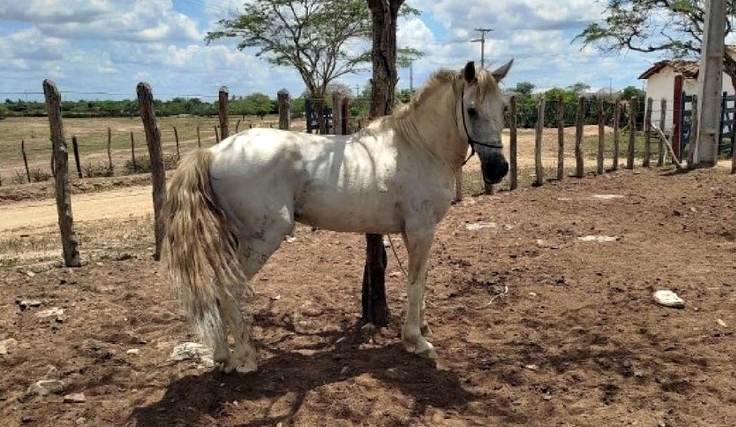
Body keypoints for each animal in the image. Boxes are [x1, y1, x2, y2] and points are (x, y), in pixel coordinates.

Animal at [163, 61, 512, 374]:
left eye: (503, 108)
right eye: (471, 110)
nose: (498, 169)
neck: (420, 147)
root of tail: (213, 152)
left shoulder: (409, 231)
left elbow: (421, 279)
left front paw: (422, 327)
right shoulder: (421, 229)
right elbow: (415, 282)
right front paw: (416, 341)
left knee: (216, 291)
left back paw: (223, 356)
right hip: (264, 237)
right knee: (229, 290)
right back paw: (246, 360)